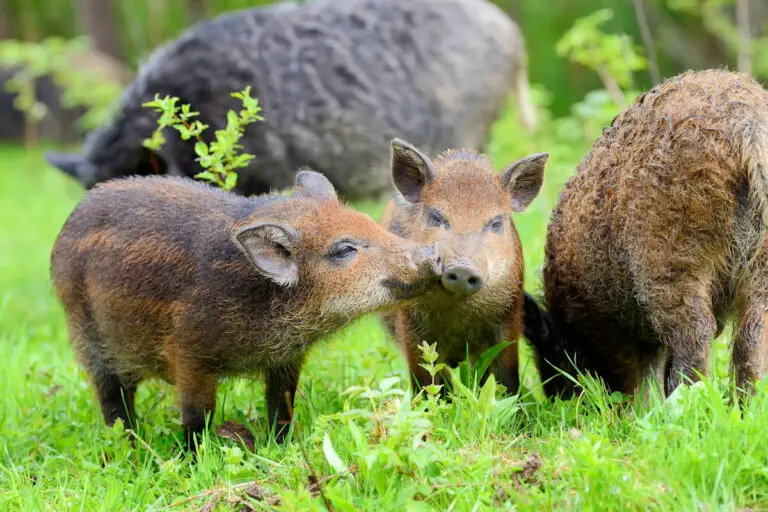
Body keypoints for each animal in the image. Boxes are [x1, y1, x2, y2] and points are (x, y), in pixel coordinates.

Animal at [51, 170, 440, 446]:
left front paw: (282, 448)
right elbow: (198, 415)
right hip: (88, 339)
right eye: (343, 249)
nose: (431, 255)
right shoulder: (188, 352)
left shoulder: (287, 358)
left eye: (371, 222)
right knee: (113, 403)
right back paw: (128, 448)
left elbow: (282, 404)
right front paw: (195, 460)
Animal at [380, 138, 548, 394]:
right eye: (436, 217)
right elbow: (425, 379)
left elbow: (506, 375)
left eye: (495, 222)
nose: (462, 268)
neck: (459, 315)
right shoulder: (408, 323)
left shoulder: (509, 316)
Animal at [524, 70, 768, 398]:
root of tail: (749, 126)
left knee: (696, 336)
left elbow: (641, 378)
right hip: (760, 269)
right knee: (751, 340)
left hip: (670, 257)